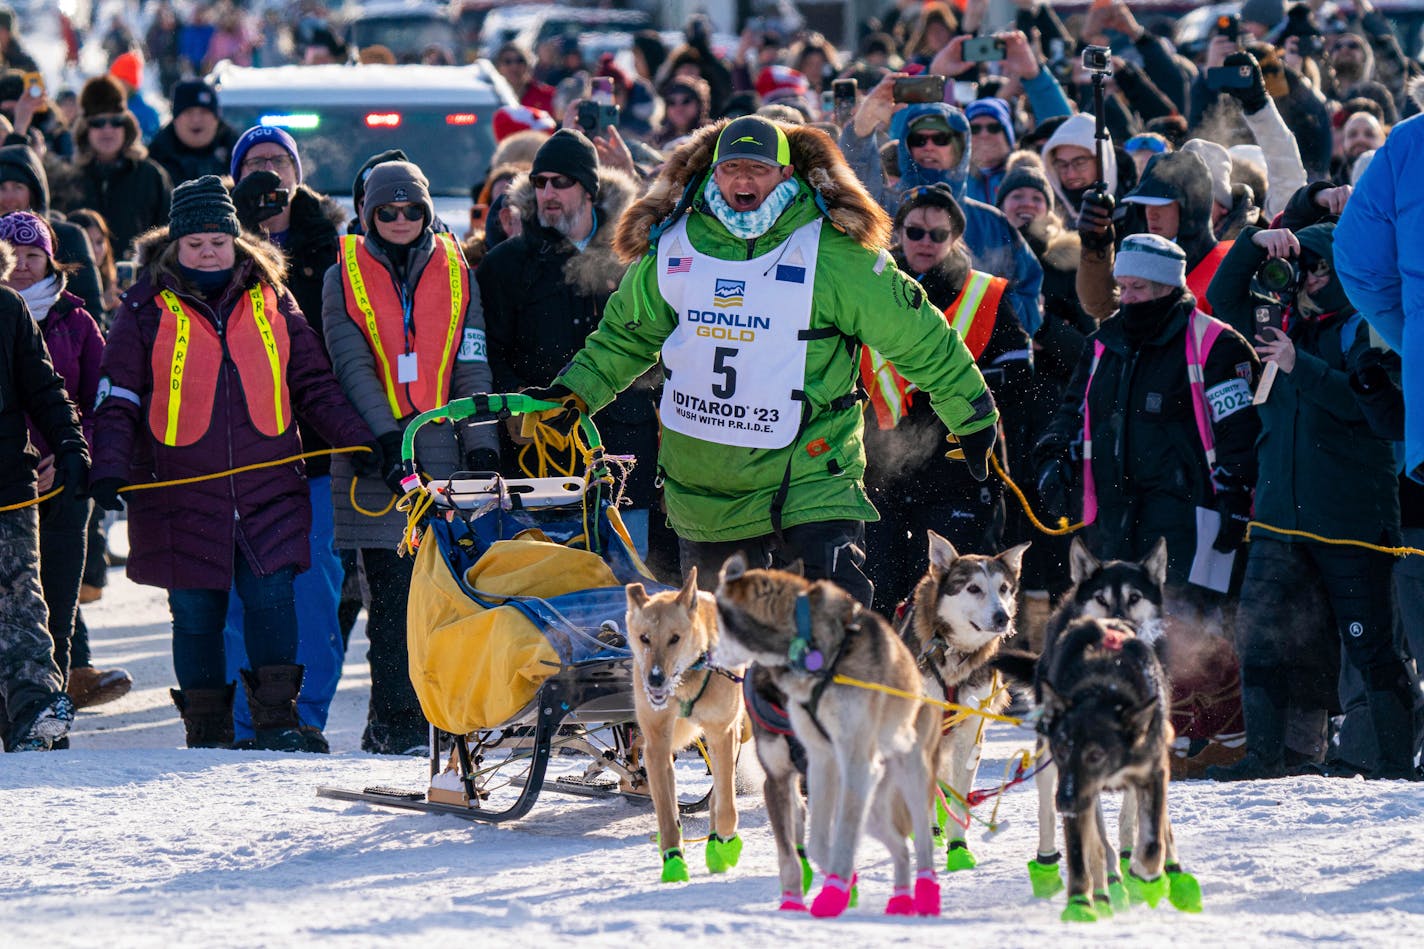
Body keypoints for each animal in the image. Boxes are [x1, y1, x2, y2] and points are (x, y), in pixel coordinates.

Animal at [629, 561, 751, 877]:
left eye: (675, 638)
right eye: (644, 637)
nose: (655, 679)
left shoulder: (721, 733)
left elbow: (726, 804)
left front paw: (725, 843)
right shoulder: (656, 744)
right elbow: (666, 811)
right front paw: (673, 857)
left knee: (720, 793)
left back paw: (717, 843)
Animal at [712, 555, 945, 917]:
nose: (707, 657)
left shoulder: (851, 764)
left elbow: (840, 835)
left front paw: (836, 891)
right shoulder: (802, 771)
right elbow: (807, 847)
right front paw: (811, 894)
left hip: (910, 778)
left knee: (921, 838)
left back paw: (926, 894)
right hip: (873, 803)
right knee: (898, 845)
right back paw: (900, 899)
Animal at [894, 527, 1030, 866]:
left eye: (1004, 588)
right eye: (973, 588)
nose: (1002, 617)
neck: (954, 653)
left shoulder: (970, 732)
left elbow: (959, 794)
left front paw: (958, 847)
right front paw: (928, 833)